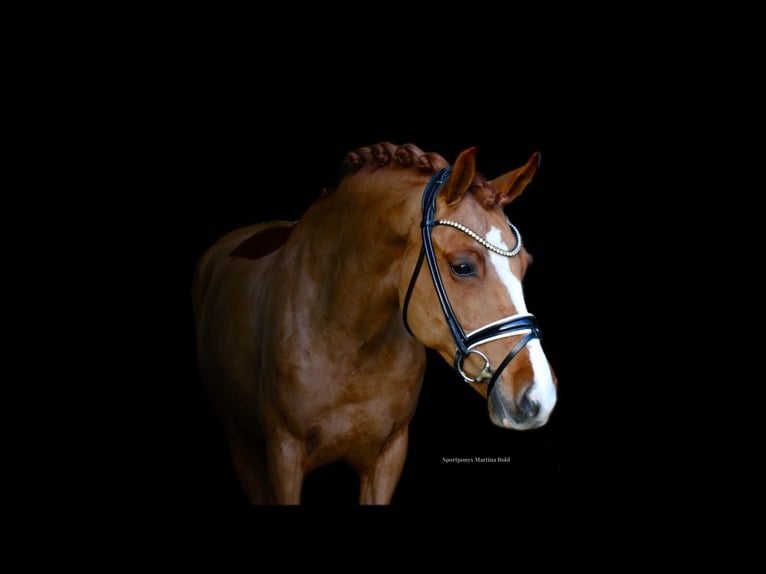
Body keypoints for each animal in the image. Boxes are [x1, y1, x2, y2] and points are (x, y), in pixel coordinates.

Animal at [194, 143, 560, 504]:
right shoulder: (282, 456)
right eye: (462, 266)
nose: (540, 396)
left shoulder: (389, 455)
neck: (345, 340)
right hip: (242, 447)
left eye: (526, 264)